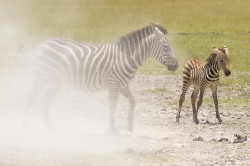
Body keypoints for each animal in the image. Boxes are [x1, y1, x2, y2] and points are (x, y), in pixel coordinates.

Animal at [23, 23, 178, 133]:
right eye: (165, 47)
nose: (176, 65)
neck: (126, 57)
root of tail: (42, 43)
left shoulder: (122, 84)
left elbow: (133, 101)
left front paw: (129, 125)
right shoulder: (113, 83)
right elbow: (113, 106)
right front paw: (112, 129)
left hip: (56, 80)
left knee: (45, 99)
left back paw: (49, 127)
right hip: (42, 75)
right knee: (31, 98)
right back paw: (26, 126)